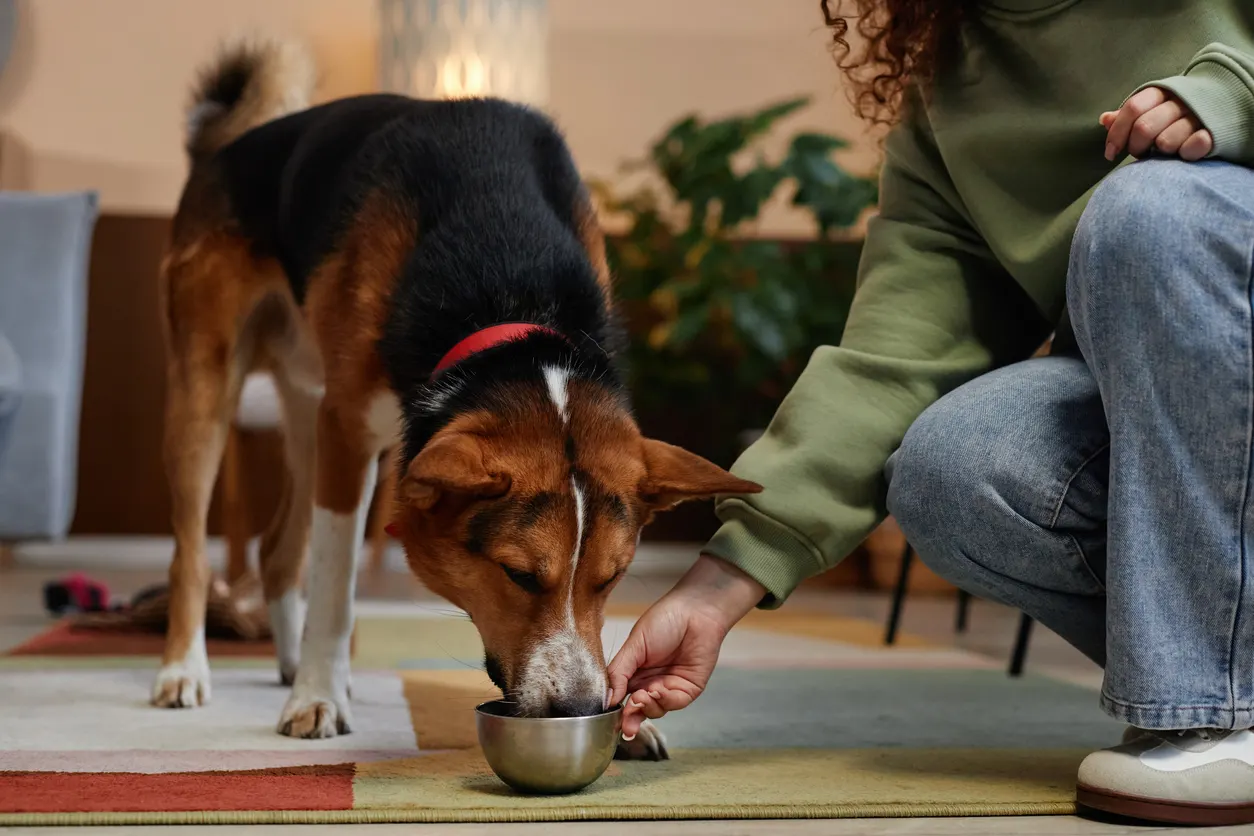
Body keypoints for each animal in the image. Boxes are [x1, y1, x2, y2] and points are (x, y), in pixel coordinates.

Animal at [156, 39, 762, 757]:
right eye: (519, 574)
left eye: (612, 579)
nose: (580, 708)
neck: (510, 293)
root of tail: (227, 145)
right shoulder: (347, 435)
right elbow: (335, 588)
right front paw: (318, 699)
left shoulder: (339, 429)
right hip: (208, 391)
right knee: (193, 553)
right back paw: (185, 671)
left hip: (305, 405)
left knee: (278, 553)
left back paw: (287, 662)